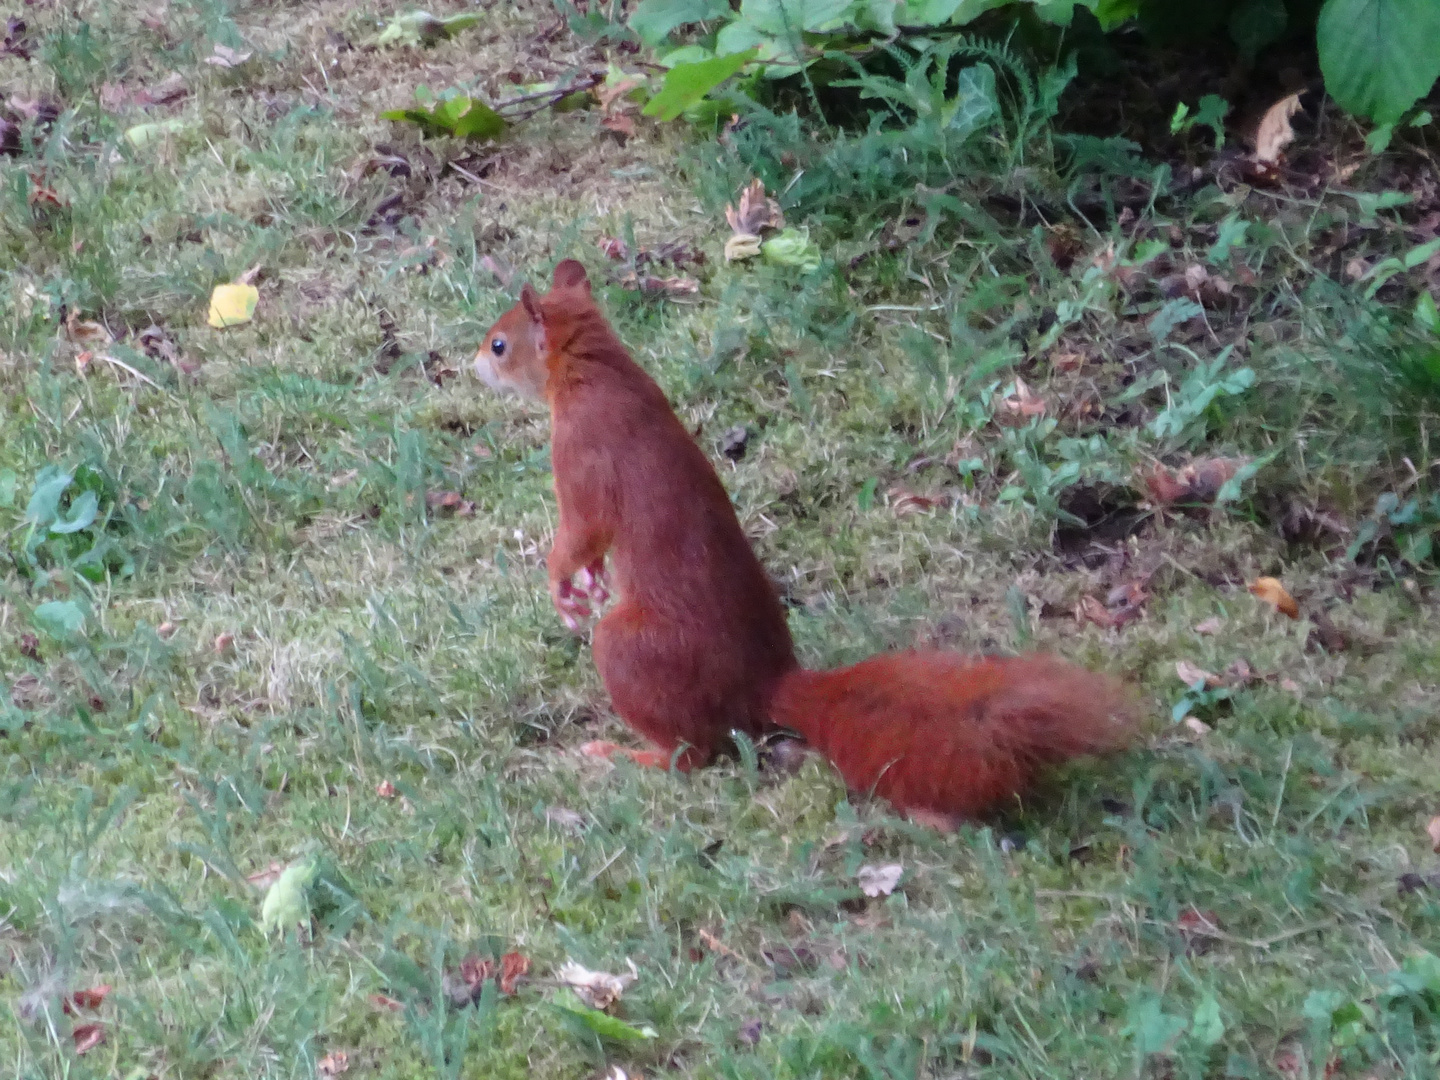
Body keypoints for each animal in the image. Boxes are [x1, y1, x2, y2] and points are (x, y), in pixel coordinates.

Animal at [472, 260, 1134, 829]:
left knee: (695, 753)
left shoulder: (583, 457)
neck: (595, 372)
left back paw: (629, 757)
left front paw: (561, 584)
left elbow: (580, 532)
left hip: (632, 652)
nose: (471, 365)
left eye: (500, 344)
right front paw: (587, 583)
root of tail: (765, 686)